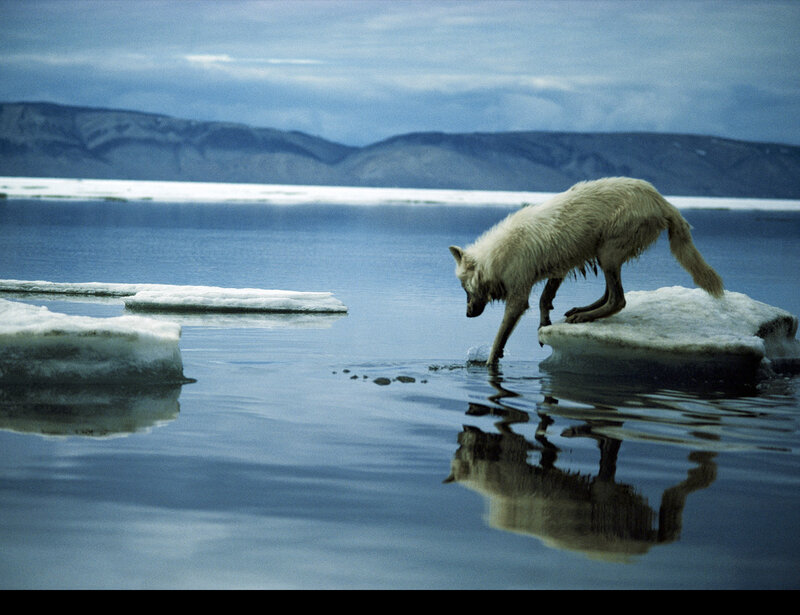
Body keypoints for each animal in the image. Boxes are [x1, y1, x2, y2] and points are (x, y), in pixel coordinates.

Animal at [449, 177, 724, 365]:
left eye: (464, 288)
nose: (467, 315)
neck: (496, 257)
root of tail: (662, 200)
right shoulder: (557, 270)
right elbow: (544, 299)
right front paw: (544, 324)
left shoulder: (518, 296)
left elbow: (499, 338)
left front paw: (489, 363)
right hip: (604, 255)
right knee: (610, 294)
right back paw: (581, 311)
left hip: (607, 252)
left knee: (618, 299)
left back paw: (584, 316)